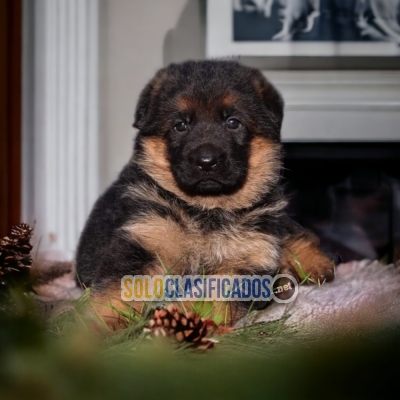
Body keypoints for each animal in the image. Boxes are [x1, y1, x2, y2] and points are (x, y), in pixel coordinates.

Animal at [76, 60, 334, 328]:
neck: (207, 209)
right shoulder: (145, 240)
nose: (206, 161)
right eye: (181, 125)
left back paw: (314, 263)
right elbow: (117, 295)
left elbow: (211, 299)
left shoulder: (248, 256)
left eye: (233, 122)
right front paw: (98, 328)